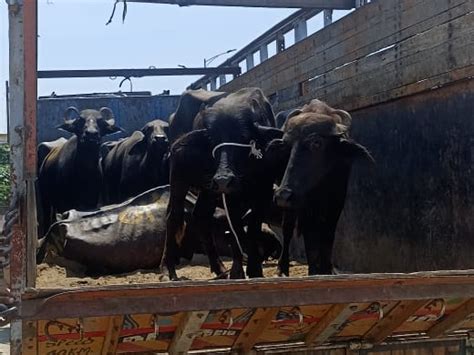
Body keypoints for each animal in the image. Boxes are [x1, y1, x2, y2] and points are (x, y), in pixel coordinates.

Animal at [38, 107, 122, 235]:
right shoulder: (65, 203)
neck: (84, 173)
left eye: (101, 122)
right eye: (80, 121)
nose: (91, 134)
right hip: (45, 198)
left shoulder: (92, 200)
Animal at [163, 88, 282, 280]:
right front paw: (239, 270)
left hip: (208, 190)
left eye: (244, 136)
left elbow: (251, 228)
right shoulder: (231, 197)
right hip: (178, 179)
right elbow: (236, 230)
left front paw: (254, 269)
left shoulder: (263, 190)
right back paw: (169, 270)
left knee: (201, 215)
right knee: (173, 216)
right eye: (212, 139)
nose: (223, 179)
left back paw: (219, 268)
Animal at [272, 100, 372, 278]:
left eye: (316, 143)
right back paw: (282, 268)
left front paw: (327, 269)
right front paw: (314, 271)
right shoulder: (305, 208)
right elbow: (311, 243)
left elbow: (327, 238)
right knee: (287, 229)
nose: (283, 194)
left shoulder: (336, 203)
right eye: (286, 145)